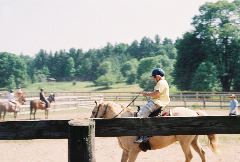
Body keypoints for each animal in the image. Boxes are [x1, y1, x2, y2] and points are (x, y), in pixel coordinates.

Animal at [90, 101, 218, 162]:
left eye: (93, 111)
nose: (90, 120)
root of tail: (194, 113)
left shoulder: (133, 151)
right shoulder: (126, 151)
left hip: (184, 142)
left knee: (189, 156)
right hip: (193, 141)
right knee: (202, 153)